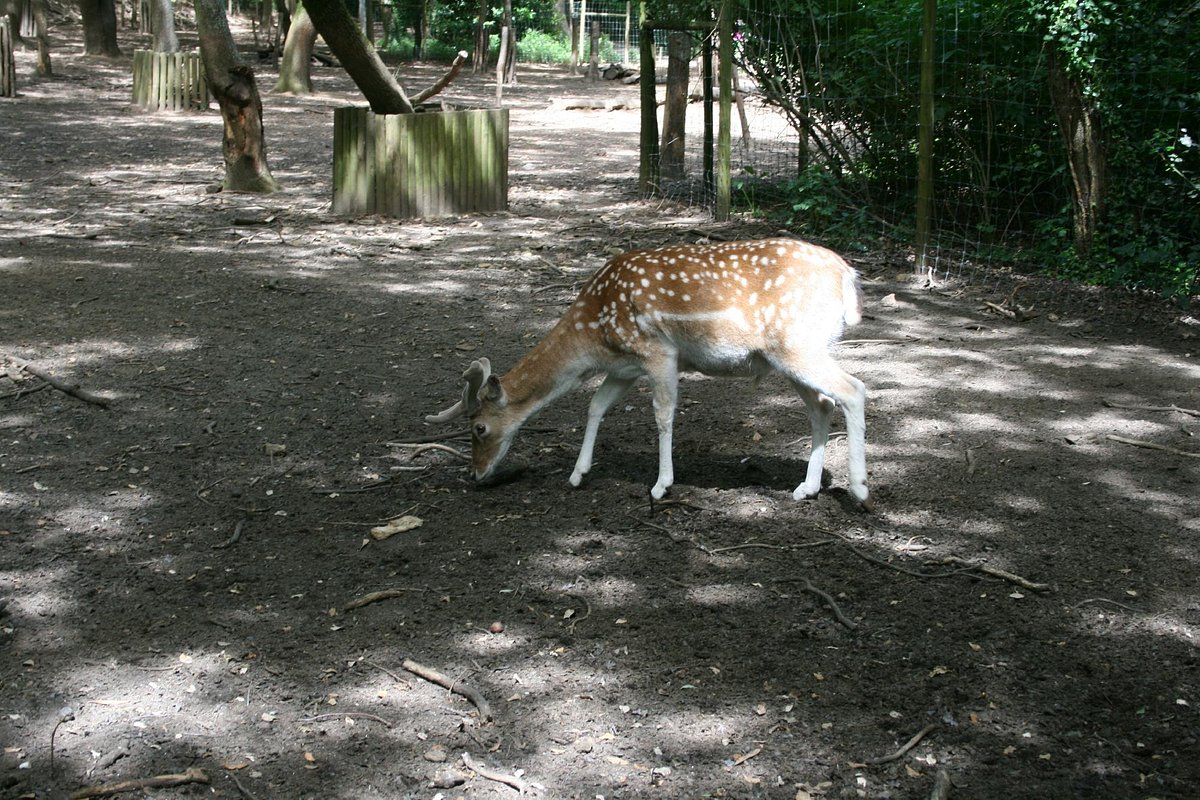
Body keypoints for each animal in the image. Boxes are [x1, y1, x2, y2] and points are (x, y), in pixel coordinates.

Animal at [427, 237, 868, 510]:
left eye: (479, 427)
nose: (476, 474)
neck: (595, 333)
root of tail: (848, 278)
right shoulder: (625, 368)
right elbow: (595, 405)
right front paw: (577, 474)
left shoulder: (658, 352)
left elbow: (663, 414)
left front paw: (661, 485)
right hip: (789, 355)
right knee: (822, 405)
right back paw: (806, 488)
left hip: (798, 344)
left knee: (853, 389)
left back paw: (860, 488)